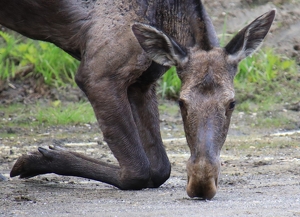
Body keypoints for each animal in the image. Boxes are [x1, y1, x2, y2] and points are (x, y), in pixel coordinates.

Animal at [0, 0, 276, 200]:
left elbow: (160, 168)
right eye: (181, 102)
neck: (166, 16)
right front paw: (35, 160)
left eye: (232, 103)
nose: (201, 182)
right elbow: (138, 170)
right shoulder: (97, 74)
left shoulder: (142, 83)